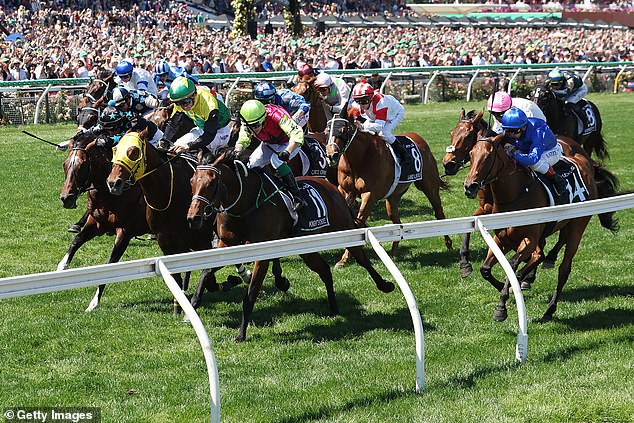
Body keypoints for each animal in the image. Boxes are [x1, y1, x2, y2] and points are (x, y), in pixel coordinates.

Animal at [58, 131, 149, 310]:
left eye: (82, 166)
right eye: (65, 164)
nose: (66, 198)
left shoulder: (124, 233)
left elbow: (110, 264)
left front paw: (94, 302)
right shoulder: (96, 224)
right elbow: (76, 240)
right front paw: (60, 268)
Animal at [105, 132, 248, 314]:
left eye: (133, 152)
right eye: (115, 149)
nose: (113, 182)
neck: (167, 193)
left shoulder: (200, 239)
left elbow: (209, 275)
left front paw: (229, 282)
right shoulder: (165, 240)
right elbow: (177, 275)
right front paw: (178, 306)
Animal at [185, 151, 396, 342]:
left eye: (212, 183)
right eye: (192, 181)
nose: (193, 218)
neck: (245, 204)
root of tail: (332, 187)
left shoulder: (262, 253)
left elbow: (251, 293)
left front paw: (241, 334)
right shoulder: (228, 245)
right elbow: (205, 272)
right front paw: (191, 308)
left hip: (344, 231)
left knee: (362, 258)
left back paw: (385, 285)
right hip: (306, 247)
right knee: (325, 271)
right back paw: (334, 308)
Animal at [324, 111, 452, 266]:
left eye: (343, 130)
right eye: (326, 131)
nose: (331, 156)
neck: (360, 158)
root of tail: (419, 139)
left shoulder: (370, 195)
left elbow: (357, 223)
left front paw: (346, 257)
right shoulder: (345, 190)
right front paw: (343, 259)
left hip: (429, 186)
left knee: (439, 213)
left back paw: (448, 243)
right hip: (393, 197)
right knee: (397, 223)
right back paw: (393, 253)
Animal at [460, 134, 616, 322]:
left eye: (488, 156)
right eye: (471, 154)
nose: (470, 186)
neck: (515, 196)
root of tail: (587, 164)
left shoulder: (529, 240)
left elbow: (512, 267)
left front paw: (501, 307)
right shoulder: (502, 239)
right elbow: (485, 269)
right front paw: (503, 286)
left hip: (577, 227)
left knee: (564, 269)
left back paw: (549, 309)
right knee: (544, 253)